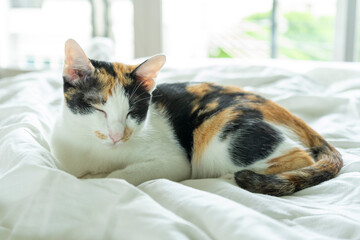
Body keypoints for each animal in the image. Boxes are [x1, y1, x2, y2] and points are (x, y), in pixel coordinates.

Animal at [50, 39, 344, 197]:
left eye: (133, 112)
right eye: (98, 108)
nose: (116, 136)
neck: (99, 152)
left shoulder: (175, 161)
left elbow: (120, 176)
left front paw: (99, 179)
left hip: (220, 136)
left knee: (300, 158)